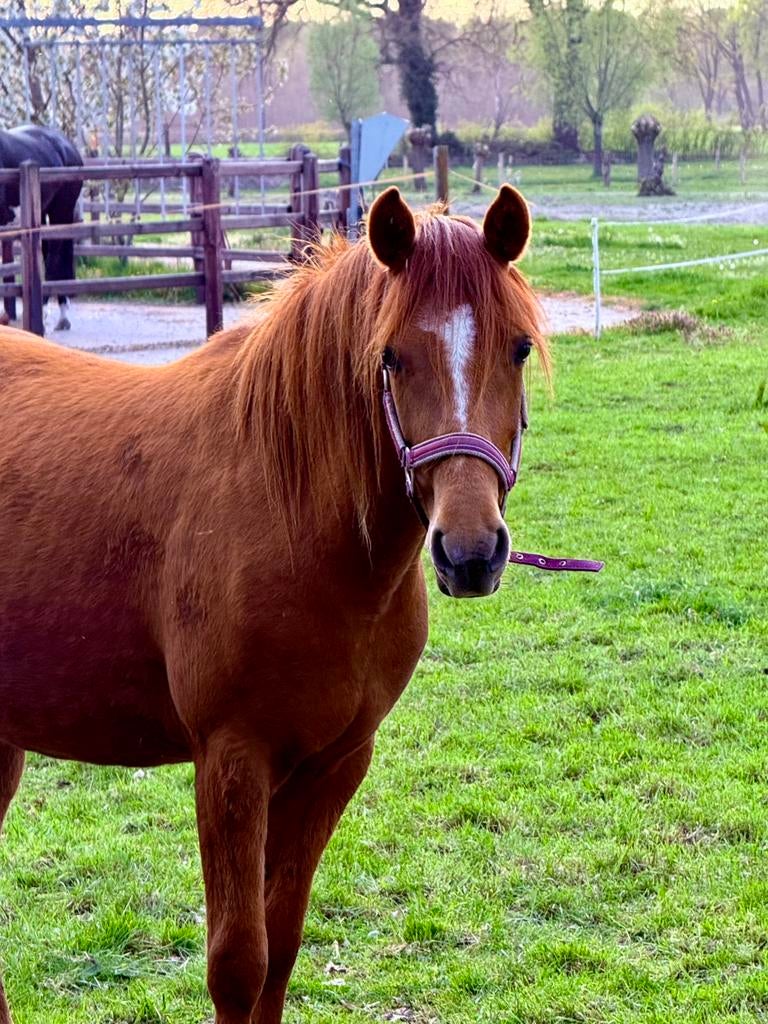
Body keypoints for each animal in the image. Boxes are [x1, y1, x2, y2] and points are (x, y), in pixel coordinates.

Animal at [0, 185, 549, 1024]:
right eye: (390, 356)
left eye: (517, 348)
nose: (469, 552)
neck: (291, 515)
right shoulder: (232, 762)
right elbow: (238, 962)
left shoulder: (332, 767)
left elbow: (283, 947)